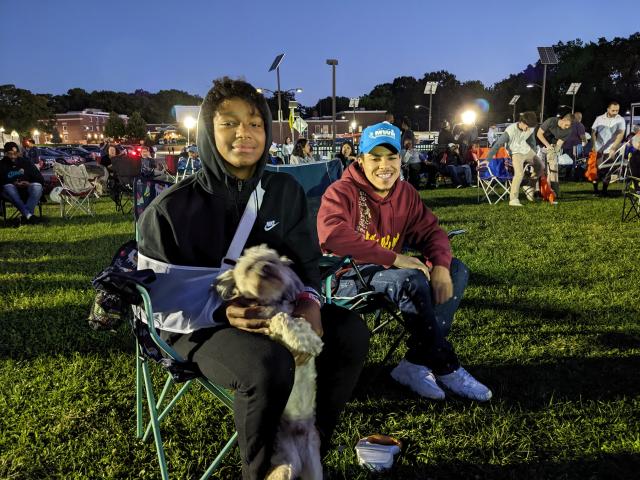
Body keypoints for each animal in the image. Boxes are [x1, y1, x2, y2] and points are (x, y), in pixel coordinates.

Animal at [216, 246, 324, 478]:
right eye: (249, 267)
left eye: (271, 260)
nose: (265, 267)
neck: (273, 302)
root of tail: (297, 433)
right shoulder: (266, 326)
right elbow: (281, 319)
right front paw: (308, 340)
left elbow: (296, 319)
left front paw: (309, 337)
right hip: (285, 465)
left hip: (313, 466)